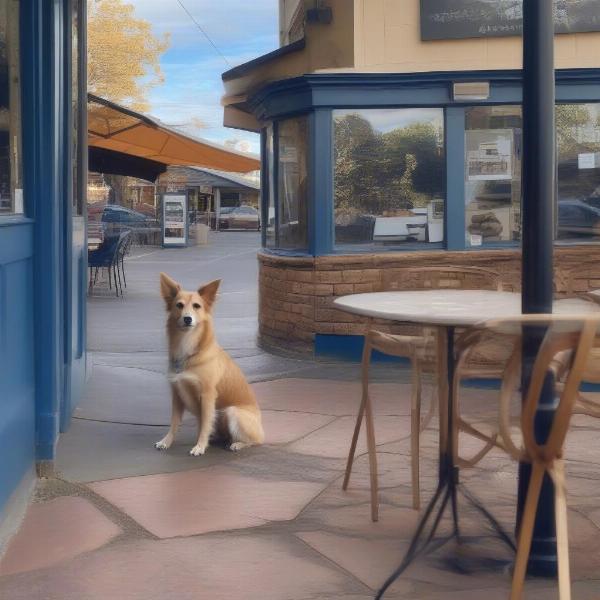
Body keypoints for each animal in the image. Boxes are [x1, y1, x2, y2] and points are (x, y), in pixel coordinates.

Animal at [156, 274, 264, 454]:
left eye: (197, 306)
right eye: (179, 305)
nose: (187, 318)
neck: (189, 349)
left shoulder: (207, 396)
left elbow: (205, 424)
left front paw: (200, 446)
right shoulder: (177, 394)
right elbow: (175, 423)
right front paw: (166, 441)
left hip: (231, 412)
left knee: (254, 441)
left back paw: (237, 444)